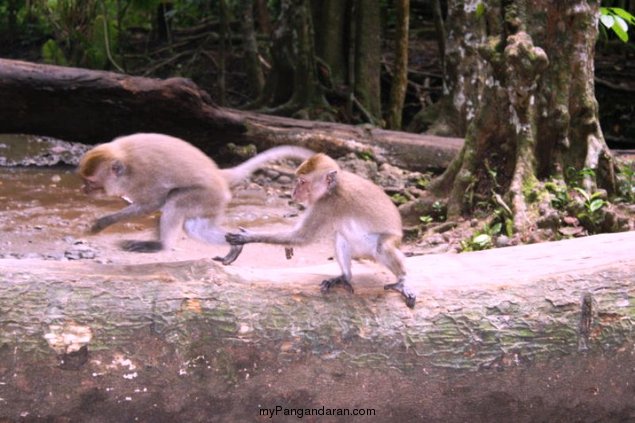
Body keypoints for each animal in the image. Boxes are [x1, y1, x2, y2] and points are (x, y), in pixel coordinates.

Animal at [78, 132, 314, 258]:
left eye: (92, 183)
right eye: (84, 180)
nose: (84, 190)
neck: (124, 161)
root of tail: (218, 173)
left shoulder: (144, 178)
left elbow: (153, 203)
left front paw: (102, 222)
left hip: (207, 195)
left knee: (175, 202)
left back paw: (160, 246)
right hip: (213, 201)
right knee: (196, 229)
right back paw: (236, 245)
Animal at [224, 152, 418, 308]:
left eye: (302, 182)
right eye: (297, 181)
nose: (293, 193)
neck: (332, 189)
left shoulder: (325, 204)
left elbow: (302, 237)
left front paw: (246, 237)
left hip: (388, 242)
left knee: (383, 246)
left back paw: (401, 281)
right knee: (340, 237)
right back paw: (345, 277)